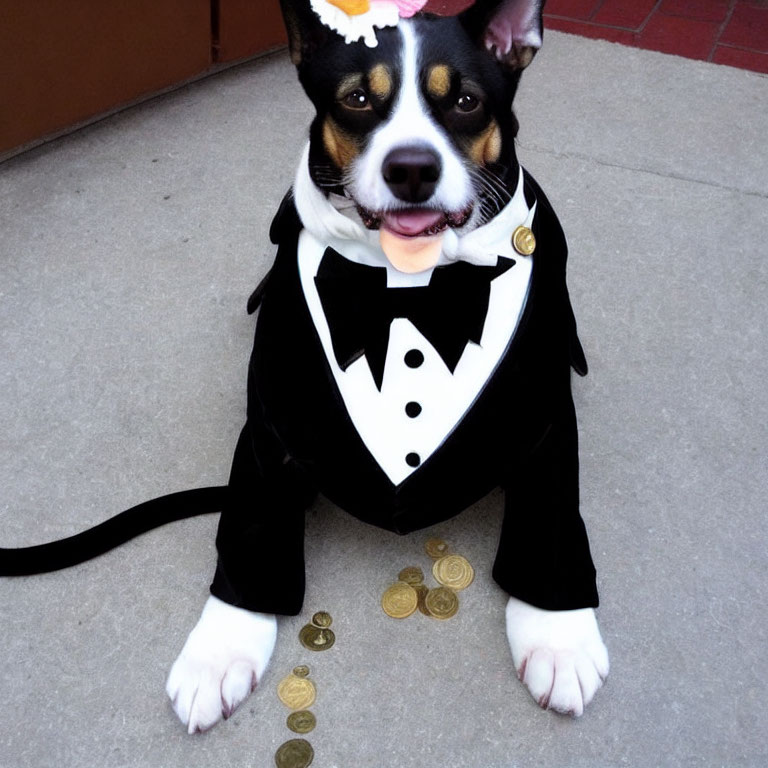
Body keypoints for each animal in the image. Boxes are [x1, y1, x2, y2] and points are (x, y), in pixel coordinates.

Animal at [1, 0, 612, 736]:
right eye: (357, 99)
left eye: (464, 100)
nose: (412, 169)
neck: (409, 285)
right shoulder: (271, 425)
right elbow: (253, 525)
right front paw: (222, 646)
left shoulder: (545, 418)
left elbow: (549, 517)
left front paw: (559, 634)